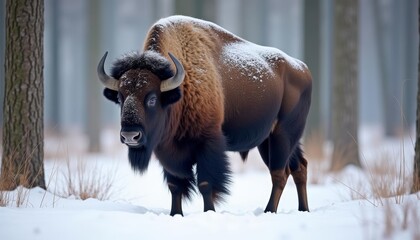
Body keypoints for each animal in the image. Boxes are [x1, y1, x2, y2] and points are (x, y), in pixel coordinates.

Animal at [96, 15, 312, 216]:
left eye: (152, 98)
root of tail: (303, 69)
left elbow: (206, 184)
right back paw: (303, 209)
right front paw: (176, 214)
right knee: (298, 167)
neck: (179, 90)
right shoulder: (168, 150)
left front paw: (209, 212)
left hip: (282, 136)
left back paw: (269, 211)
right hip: (272, 141)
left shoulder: (207, 143)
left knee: (279, 174)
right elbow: (175, 185)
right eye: (120, 97)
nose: (130, 136)